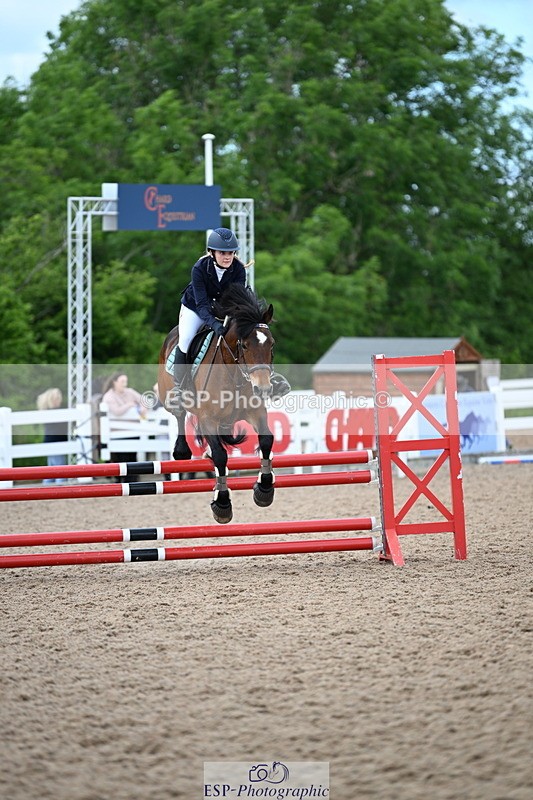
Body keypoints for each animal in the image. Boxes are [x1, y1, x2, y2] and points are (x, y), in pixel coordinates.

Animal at [157, 284, 276, 524]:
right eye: (245, 345)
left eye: (271, 345)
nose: (263, 389)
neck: (234, 371)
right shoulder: (208, 419)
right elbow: (221, 455)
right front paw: (222, 504)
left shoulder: (255, 412)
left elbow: (267, 440)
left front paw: (264, 490)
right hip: (171, 397)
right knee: (179, 415)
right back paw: (181, 451)